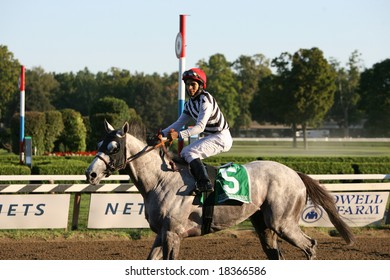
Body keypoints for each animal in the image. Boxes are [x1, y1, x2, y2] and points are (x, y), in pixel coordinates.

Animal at [85, 120, 354, 260]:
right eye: (99, 143)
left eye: (113, 147)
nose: (91, 174)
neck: (160, 180)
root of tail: (295, 173)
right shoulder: (162, 233)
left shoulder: (173, 233)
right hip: (264, 225)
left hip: (283, 223)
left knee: (310, 245)